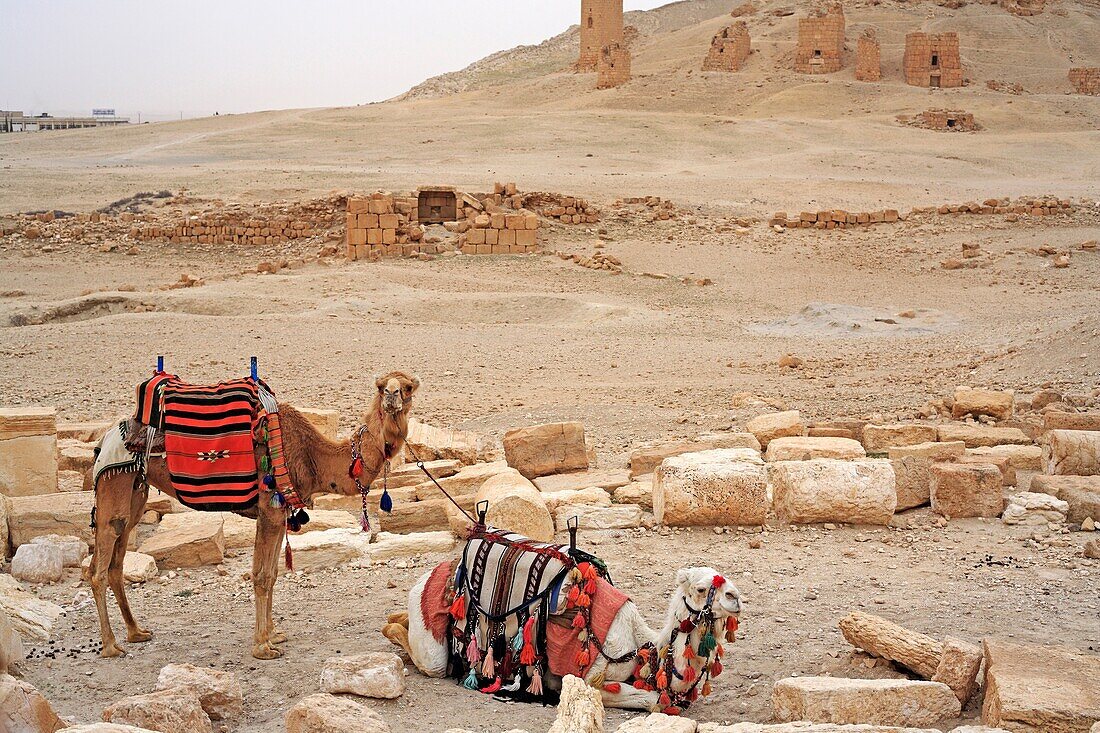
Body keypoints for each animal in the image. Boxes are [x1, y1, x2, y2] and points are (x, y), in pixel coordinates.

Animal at [85, 367, 418, 660]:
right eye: (381, 386)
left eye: (408, 387)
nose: (392, 396)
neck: (313, 457)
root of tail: (106, 437)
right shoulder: (269, 509)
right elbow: (260, 576)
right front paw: (262, 647)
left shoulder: (281, 513)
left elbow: (272, 574)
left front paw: (273, 634)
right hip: (115, 482)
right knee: (98, 567)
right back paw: (111, 646)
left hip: (135, 490)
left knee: (117, 559)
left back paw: (136, 632)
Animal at [382, 561, 743, 704]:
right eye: (700, 588)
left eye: (726, 578)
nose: (735, 597)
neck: (643, 647)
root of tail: (431, 574)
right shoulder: (591, 678)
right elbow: (652, 699)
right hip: (434, 634)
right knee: (423, 652)